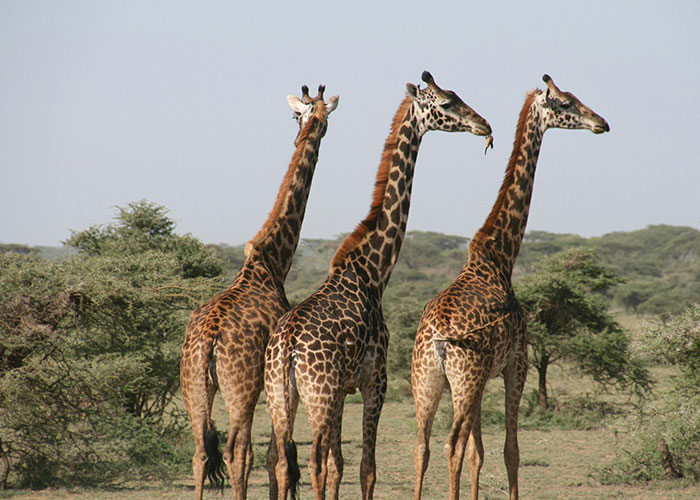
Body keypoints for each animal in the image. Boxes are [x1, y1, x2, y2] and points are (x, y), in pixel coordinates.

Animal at [180, 84, 339, 500]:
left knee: (199, 453)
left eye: (302, 115)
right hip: (241, 389)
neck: (272, 261)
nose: (310, 132)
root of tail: (209, 339)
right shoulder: (271, 385)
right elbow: (273, 456)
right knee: (237, 452)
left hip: (193, 386)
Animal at [264, 71, 492, 500]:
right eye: (447, 103)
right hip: (318, 396)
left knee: (284, 462)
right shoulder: (376, 379)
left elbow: (339, 465)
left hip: (280, 398)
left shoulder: (344, 390)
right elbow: (366, 468)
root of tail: (286, 346)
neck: (373, 270)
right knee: (311, 462)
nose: (484, 125)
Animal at [410, 74, 610, 500]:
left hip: (427, 381)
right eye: (566, 103)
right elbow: (510, 450)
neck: (500, 256)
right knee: (452, 446)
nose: (601, 123)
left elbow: (479, 454)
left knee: (423, 447)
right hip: (464, 379)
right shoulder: (516, 363)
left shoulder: (485, 375)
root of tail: (437, 340)